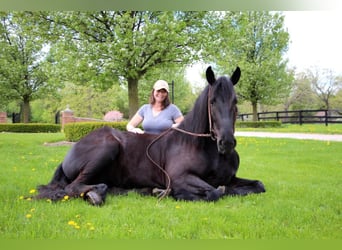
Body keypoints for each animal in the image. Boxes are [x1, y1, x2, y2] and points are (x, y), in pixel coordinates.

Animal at [34, 66, 266, 205]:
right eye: (212, 101)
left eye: (235, 101)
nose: (226, 143)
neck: (201, 147)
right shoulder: (181, 177)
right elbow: (215, 191)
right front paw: (173, 193)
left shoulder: (231, 178)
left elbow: (257, 186)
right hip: (106, 148)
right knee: (74, 186)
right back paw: (95, 194)